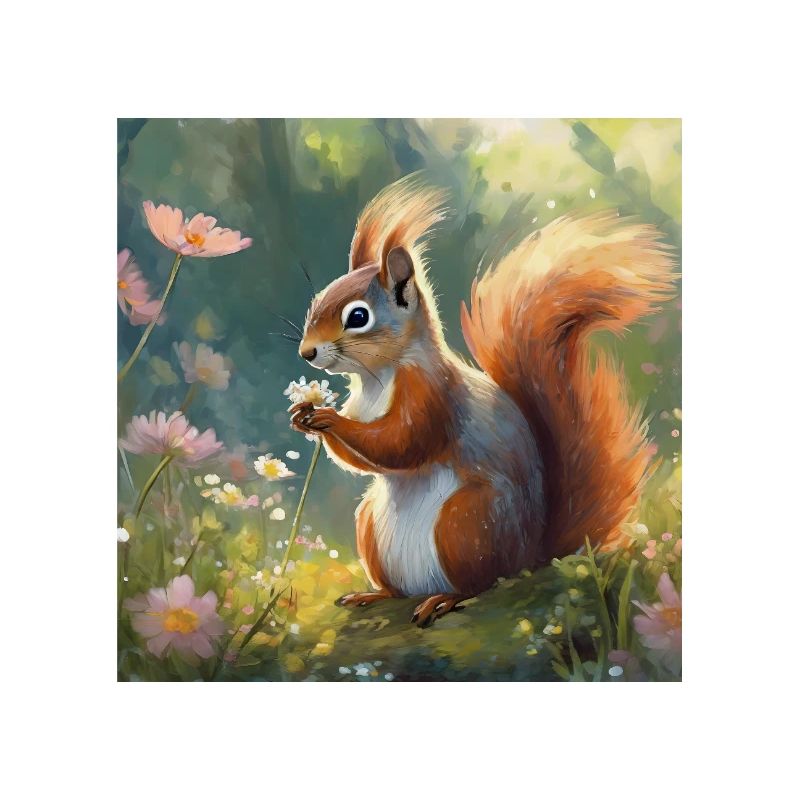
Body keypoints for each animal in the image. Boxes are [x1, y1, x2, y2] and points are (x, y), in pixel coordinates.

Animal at [289, 173, 675, 627]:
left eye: (358, 316)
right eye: (317, 302)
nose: (307, 353)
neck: (376, 379)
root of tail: (529, 557)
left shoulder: (432, 395)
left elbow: (402, 444)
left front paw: (329, 419)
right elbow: (362, 461)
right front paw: (302, 415)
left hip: (467, 523)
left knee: (479, 583)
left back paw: (443, 599)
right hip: (371, 522)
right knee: (396, 586)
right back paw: (374, 594)